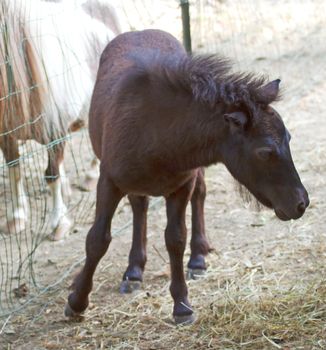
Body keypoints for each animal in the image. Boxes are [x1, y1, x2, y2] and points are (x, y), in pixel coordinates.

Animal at [0, 0, 121, 239]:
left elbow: (51, 174)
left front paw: (58, 223)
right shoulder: (6, 135)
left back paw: (91, 177)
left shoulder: (55, 133)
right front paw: (16, 217)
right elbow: (14, 170)